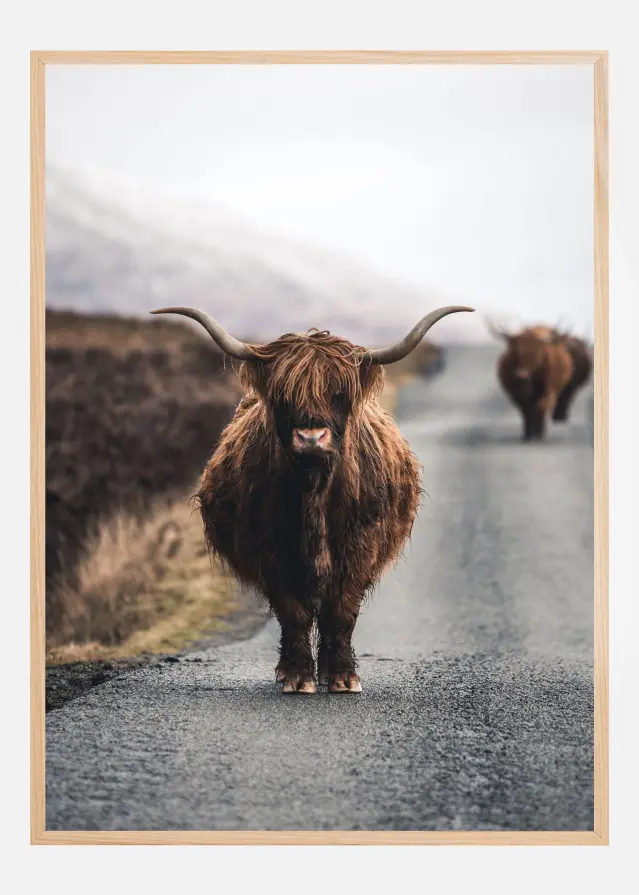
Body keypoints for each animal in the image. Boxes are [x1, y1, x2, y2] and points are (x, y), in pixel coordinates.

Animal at [151, 305, 474, 694]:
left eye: (339, 394)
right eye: (284, 396)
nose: (310, 437)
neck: (313, 490)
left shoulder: (360, 546)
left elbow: (341, 610)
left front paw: (342, 676)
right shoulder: (270, 551)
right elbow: (293, 611)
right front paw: (297, 675)